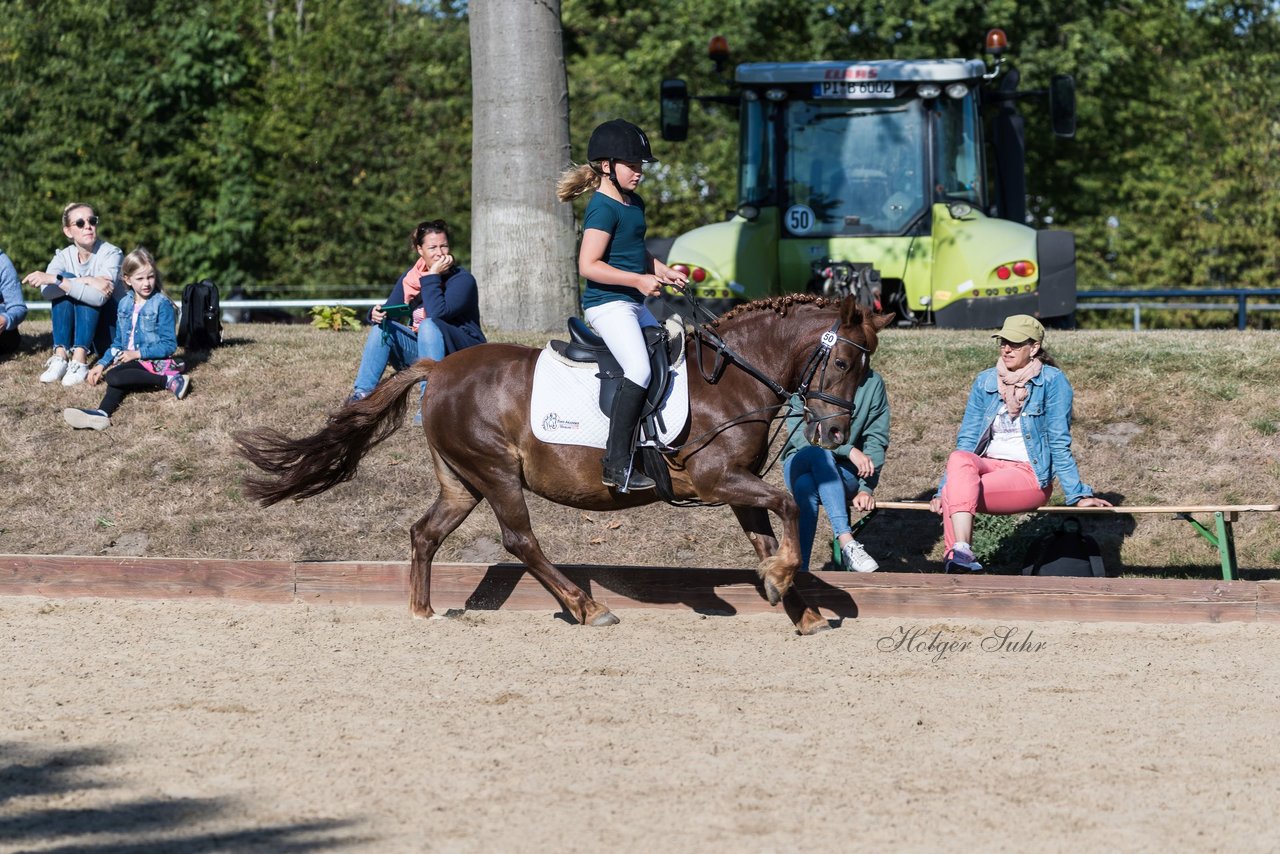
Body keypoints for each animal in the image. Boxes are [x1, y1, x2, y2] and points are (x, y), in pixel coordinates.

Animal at [235, 295, 890, 635]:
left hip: (462, 481)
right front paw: (781, 583)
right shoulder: (717, 480)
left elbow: (770, 533)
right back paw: (586, 607)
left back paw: (422, 612)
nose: (836, 433)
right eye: (841, 365)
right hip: (496, 472)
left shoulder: (734, 488)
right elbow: (787, 504)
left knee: (425, 533)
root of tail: (438, 367)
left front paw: (795, 604)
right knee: (519, 539)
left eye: (862, 369)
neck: (730, 378)